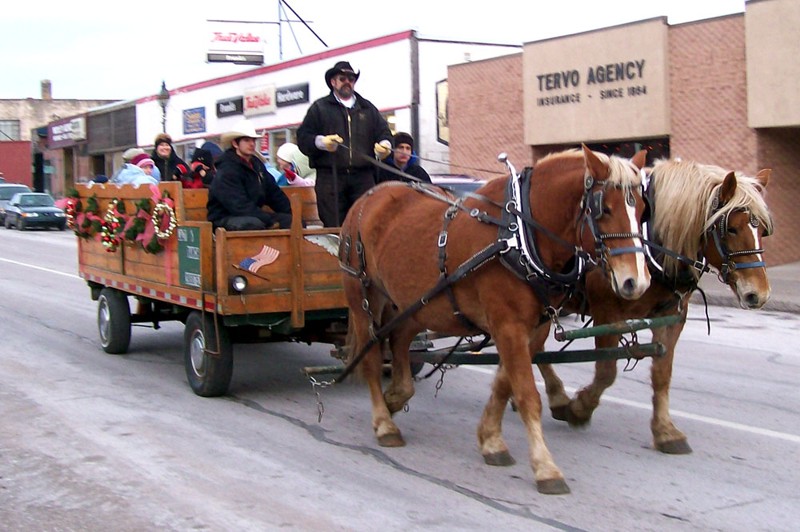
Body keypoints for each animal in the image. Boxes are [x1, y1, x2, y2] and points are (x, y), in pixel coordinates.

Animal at [340, 145, 652, 494]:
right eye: (604, 210)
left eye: (642, 209)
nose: (636, 282)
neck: (520, 236)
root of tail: (369, 198)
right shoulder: (508, 324)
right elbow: (527, 395)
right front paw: (545, 467)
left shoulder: (532, 327)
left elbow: (505, 383)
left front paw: (490, 439)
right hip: (363, 294)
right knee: (371, 355)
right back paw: (384, 423)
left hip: (417, 301)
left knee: (400, 338)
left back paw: (396, 395)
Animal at [536, 158, 772, 454]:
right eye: (731, 228)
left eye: (762, 229)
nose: (758, 294)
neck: (652, 244)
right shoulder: (606, 312)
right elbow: (606, 372)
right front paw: (579, 410)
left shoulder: (670, 314)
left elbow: (662, 373)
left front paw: (665, 431)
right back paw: (556, 397)